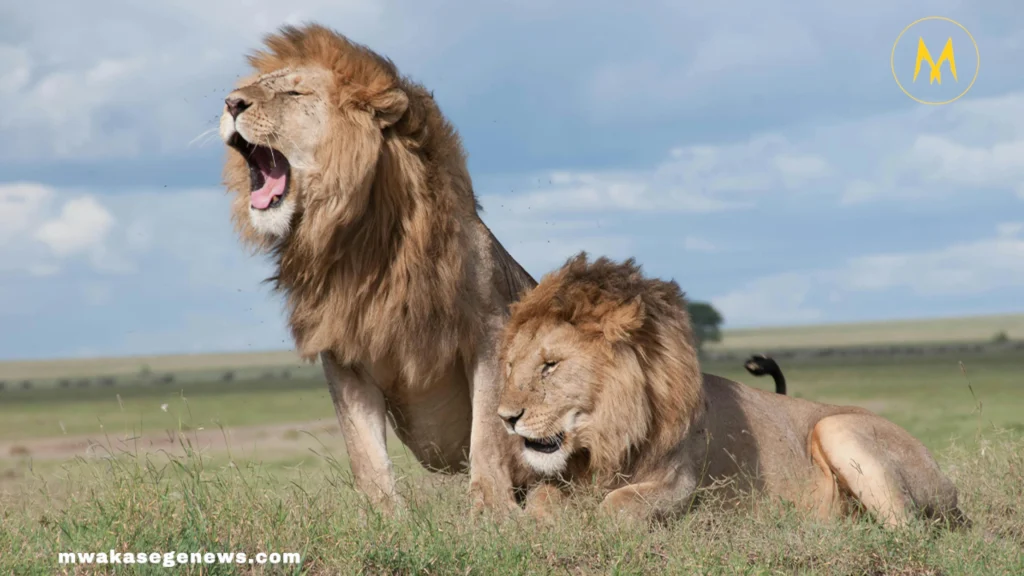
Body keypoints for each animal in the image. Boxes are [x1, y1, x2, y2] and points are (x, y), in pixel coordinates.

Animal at [219, 24, 537, 513]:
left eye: (294, 92)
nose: (231, 103)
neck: (360, 242)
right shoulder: (342, 350)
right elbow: (363, 450)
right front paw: (384, 517)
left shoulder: (489, 330)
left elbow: (487, 432)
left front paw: (492, 512)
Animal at [497, 253, 965, 527]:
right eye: (511, 366)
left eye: (550, 365)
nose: (505, 418)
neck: (606, 437)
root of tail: (949, 487)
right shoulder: (563, 478)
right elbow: (540, 499)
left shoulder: (681, 483)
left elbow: (617, 506)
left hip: (838, 428)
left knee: (908, 529)